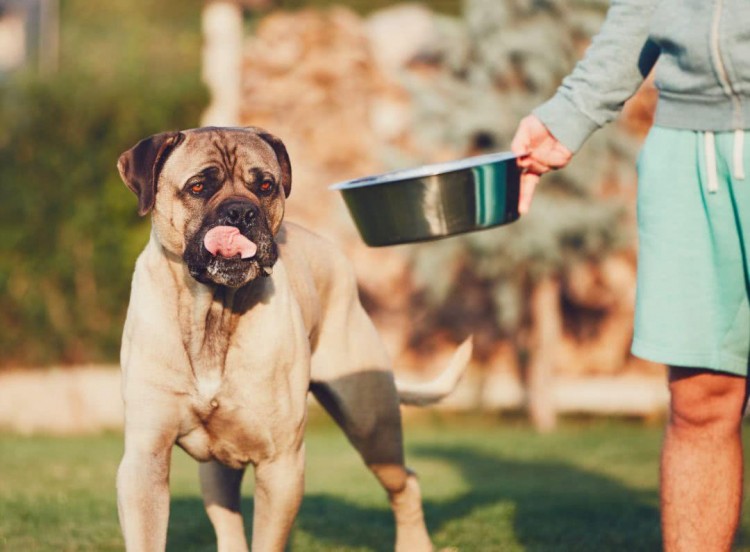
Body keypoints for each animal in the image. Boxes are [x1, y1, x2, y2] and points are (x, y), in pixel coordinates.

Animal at [115, 127, 472, 548]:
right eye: (199, 186)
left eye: (265, 185)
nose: (241, 212)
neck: (213, 312)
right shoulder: (145, 459)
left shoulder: (281, 463)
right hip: (219, 465)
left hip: (372, 426)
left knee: (405, 484)